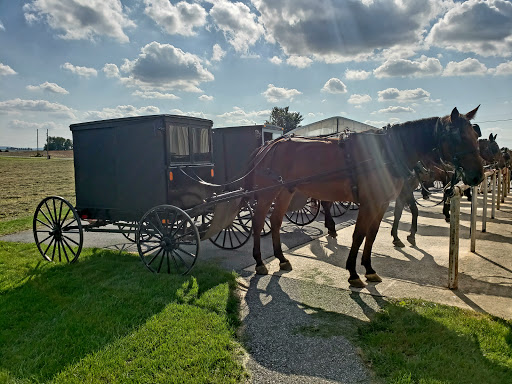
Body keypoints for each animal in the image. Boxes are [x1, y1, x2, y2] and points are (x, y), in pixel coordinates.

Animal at [246, 106, 482, 286]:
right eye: (458, 137)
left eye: (474, 136)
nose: (478, 175)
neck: (385, 154)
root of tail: (267, 146)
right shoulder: (368, 203)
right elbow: (358, 235)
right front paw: (353, 272)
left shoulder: (381, 203)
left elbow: (372, 234)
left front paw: (368, 268)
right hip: (267, 193)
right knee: (258, 222)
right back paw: (259, 262)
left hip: (285, 192)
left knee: (275, 221)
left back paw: (281, 258)